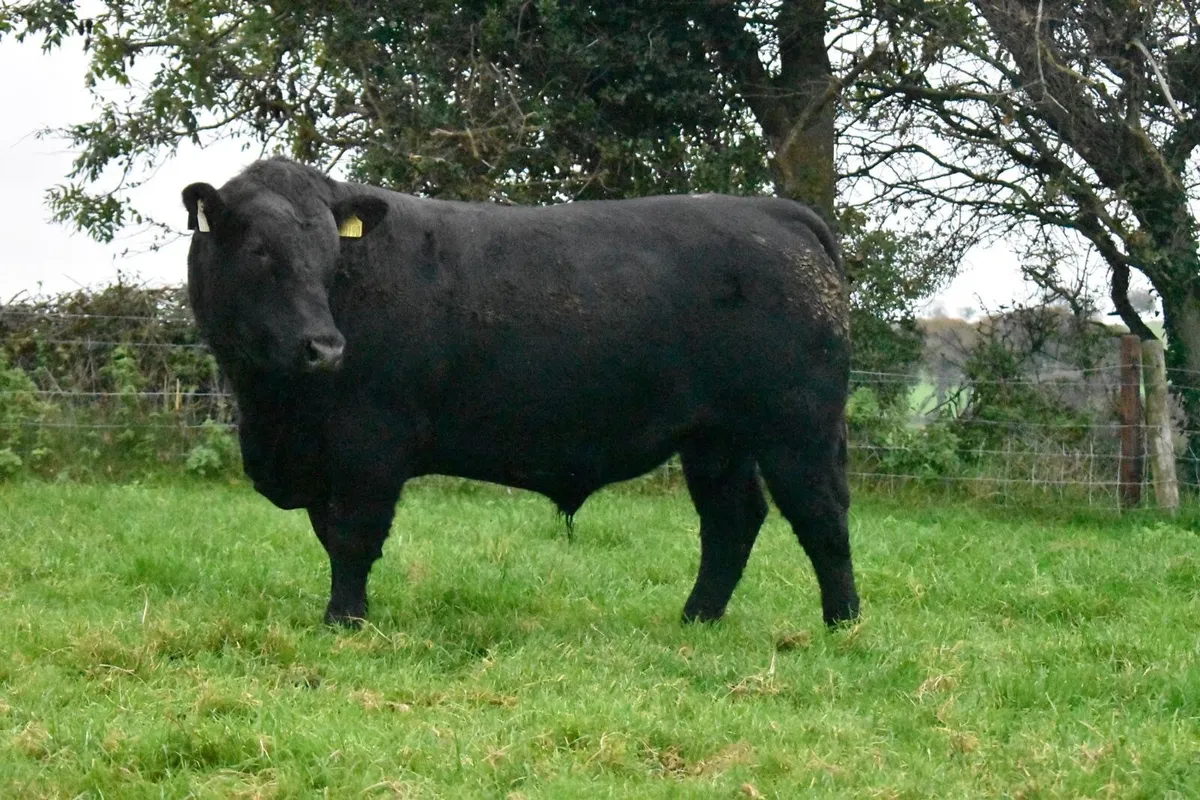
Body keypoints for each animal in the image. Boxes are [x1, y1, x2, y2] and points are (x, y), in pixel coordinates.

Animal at [182, 157, 859, 630]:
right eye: (258, 249)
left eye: (329, 254)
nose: (324, 348)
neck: (272, 410)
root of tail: (779, 214)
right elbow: (332, 536)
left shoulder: (369, 444)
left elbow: (352, 537)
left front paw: (343, 623)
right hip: (717, 438)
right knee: (731, 519)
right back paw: (696, 619)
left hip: (796, 425)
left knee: (820, 513)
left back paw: (842, 624)